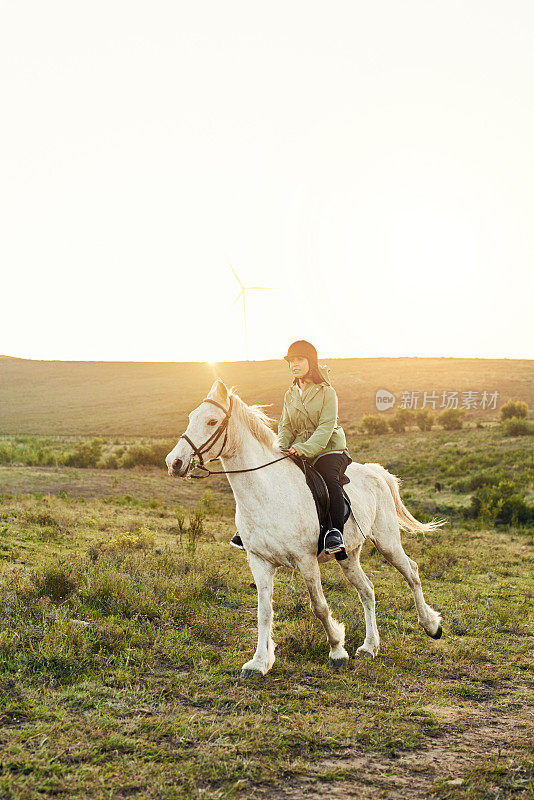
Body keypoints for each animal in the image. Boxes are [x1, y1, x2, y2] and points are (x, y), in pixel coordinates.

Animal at [165, 380, 446, 676]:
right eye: (190, 417)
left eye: (211, 421)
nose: (174, 463)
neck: (268, 491)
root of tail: (376, 472)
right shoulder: (259, 561)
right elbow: (264, 611)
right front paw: (259, 662)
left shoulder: (306, 560)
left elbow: (319, 607)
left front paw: (337, 650)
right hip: (348, 555)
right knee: (367, 590)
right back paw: (370, 647)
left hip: (387, 542)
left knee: (411, 572)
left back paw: (432, 626)